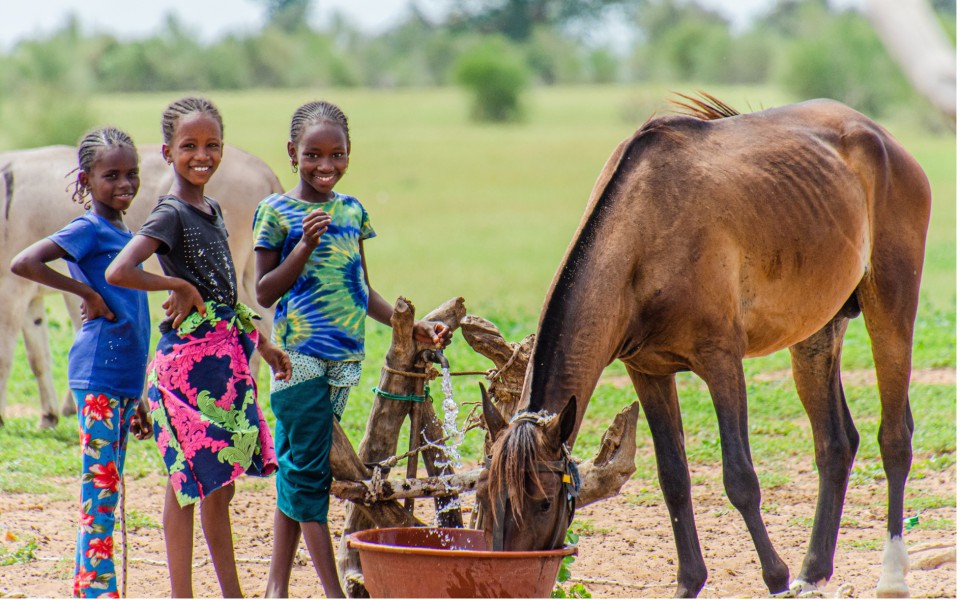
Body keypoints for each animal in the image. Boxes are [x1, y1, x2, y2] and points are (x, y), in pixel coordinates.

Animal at [0, 144, 282, 426]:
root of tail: (265, 170)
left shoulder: (11, 288)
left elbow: (6, 354)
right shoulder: (30, 296)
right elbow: (38, 357)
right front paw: (49, 416)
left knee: (265, 322)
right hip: (248, 271)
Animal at [478, 96, 928, 596]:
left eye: (542, 502)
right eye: (484, 498)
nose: (507, 579)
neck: (642, 237)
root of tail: (883, 138)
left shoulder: (721, 362)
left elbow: (740, 478)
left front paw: (775, 577)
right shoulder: (647, 372)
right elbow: (673, 478)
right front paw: (689, 582)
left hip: (891, 308)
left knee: (895, 438)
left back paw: (890, 575)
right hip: (814, 335)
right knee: (835, 443)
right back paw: (812, 572)